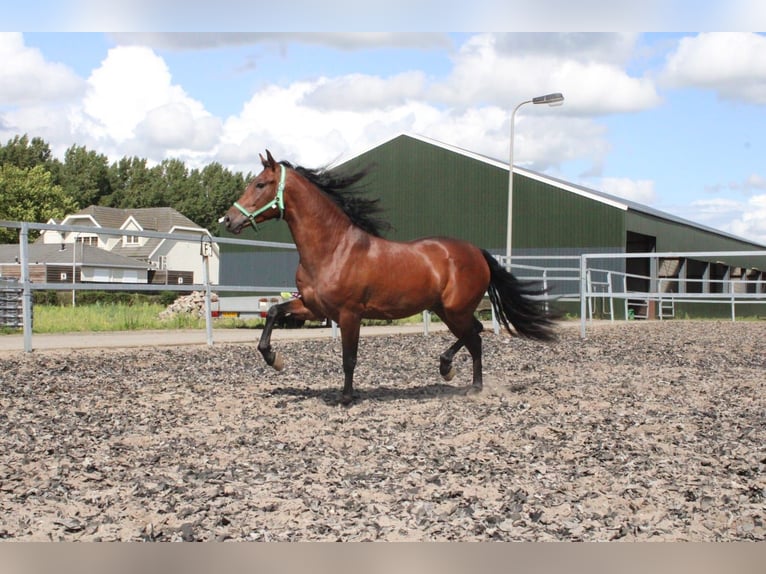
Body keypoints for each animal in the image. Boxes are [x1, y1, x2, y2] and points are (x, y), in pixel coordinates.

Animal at [222, 151, 560, 408]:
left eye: (260, 184)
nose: (228, 219)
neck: (333, 249)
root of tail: (475, 251)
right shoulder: (314, 307)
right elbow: (273, 312)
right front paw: (274, 359)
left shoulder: (349, 314)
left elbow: (349, 357)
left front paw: (346, 398)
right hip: (445, 310)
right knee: (475, 336)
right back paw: (463, 379)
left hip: (456, 309)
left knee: (475, 335)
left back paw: (458, 376)